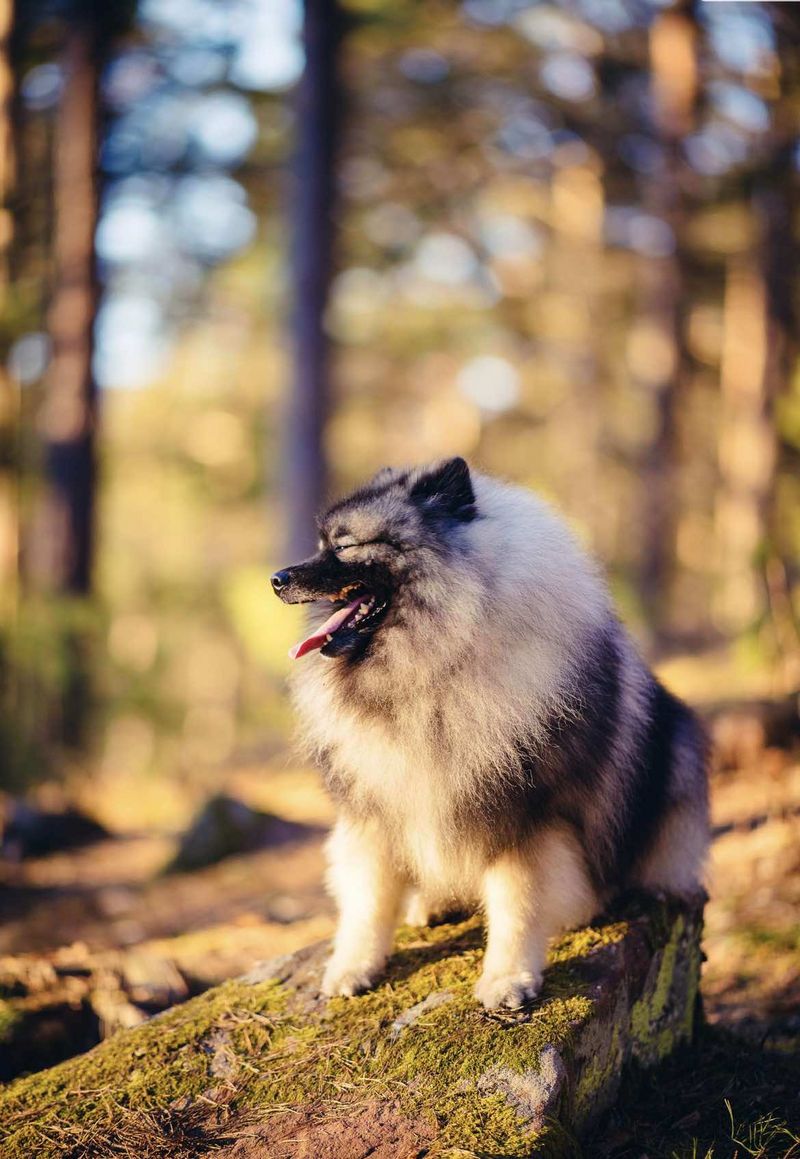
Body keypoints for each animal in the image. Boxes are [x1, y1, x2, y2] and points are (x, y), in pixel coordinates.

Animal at [271, 457, 709, 1009]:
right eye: (320, 543)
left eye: (344, 547)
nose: (277, 579)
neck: (429, 672)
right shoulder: (375, 807)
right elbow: (367, 900)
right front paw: (352, 968)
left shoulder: (526, 818)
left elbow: (517, 904)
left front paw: (507, 979)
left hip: (677, 756)